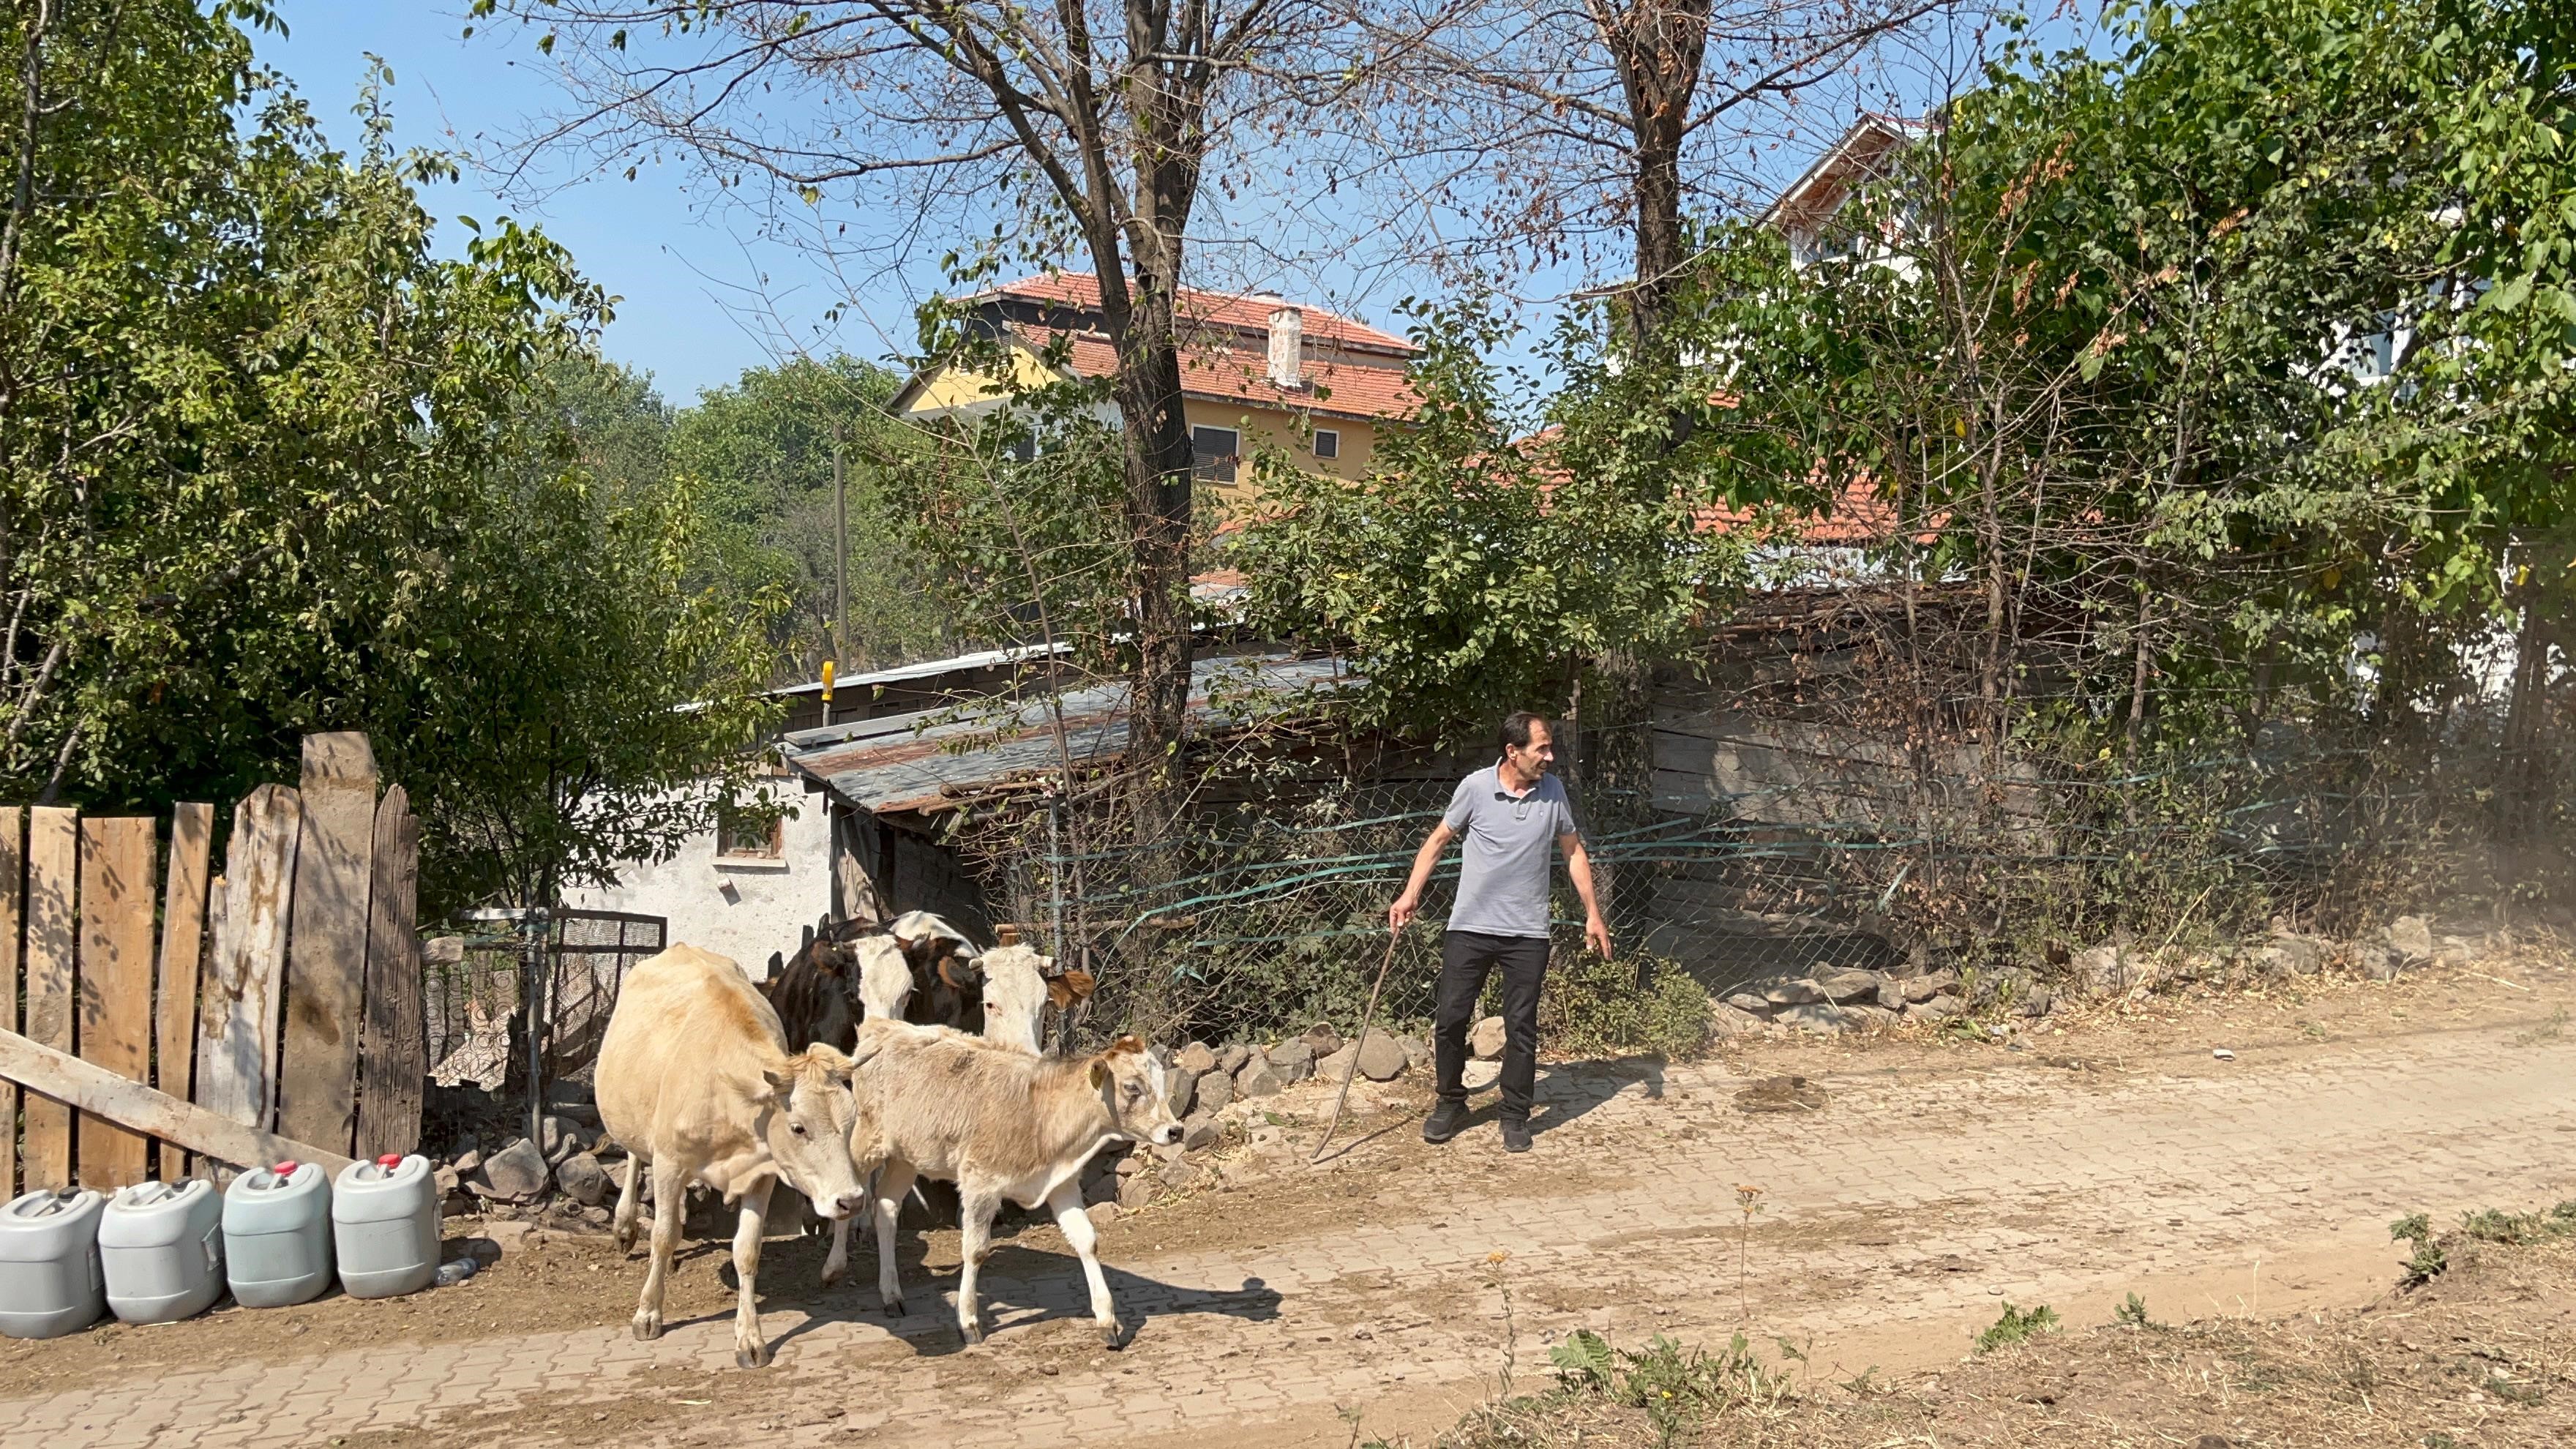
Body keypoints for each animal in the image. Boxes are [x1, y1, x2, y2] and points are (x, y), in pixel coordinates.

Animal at [595, 943, 870, 1361]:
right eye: (798, 1127)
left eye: (852, 1121)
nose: (851, 1201)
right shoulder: (670, 1162)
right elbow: (663, 1235)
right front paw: (648, 1313)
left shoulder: (763, 1174)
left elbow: (747, 1249)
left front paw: (750, 1339)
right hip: (633, 1120)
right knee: (633, 1158)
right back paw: (625, 1225)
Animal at [839, 1016, 1180, 1341]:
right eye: (1132, 1087)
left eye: (1162, 1082)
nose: (1176, 1130)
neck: (1040, 1114)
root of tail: (884, 1027)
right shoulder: (979, 1182)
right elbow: (975, 1250)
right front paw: (968, 1321)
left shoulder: (1061, 1183)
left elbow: (1087, 1240)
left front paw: (1107, 1320)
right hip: (866, 1143)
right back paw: (835, 1268)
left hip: (906, 1157)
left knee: (886, 1208)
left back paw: (891, 1295)